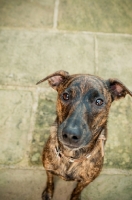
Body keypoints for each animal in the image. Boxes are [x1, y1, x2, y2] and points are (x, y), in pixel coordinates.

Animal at [36, 69, 132, 199]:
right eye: (66, 96)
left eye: (99, 101)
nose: (70, 135)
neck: (71, 156)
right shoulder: (48, 168)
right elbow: (49, 180)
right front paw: (48, 192)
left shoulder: (86, 181)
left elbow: (77, 190)